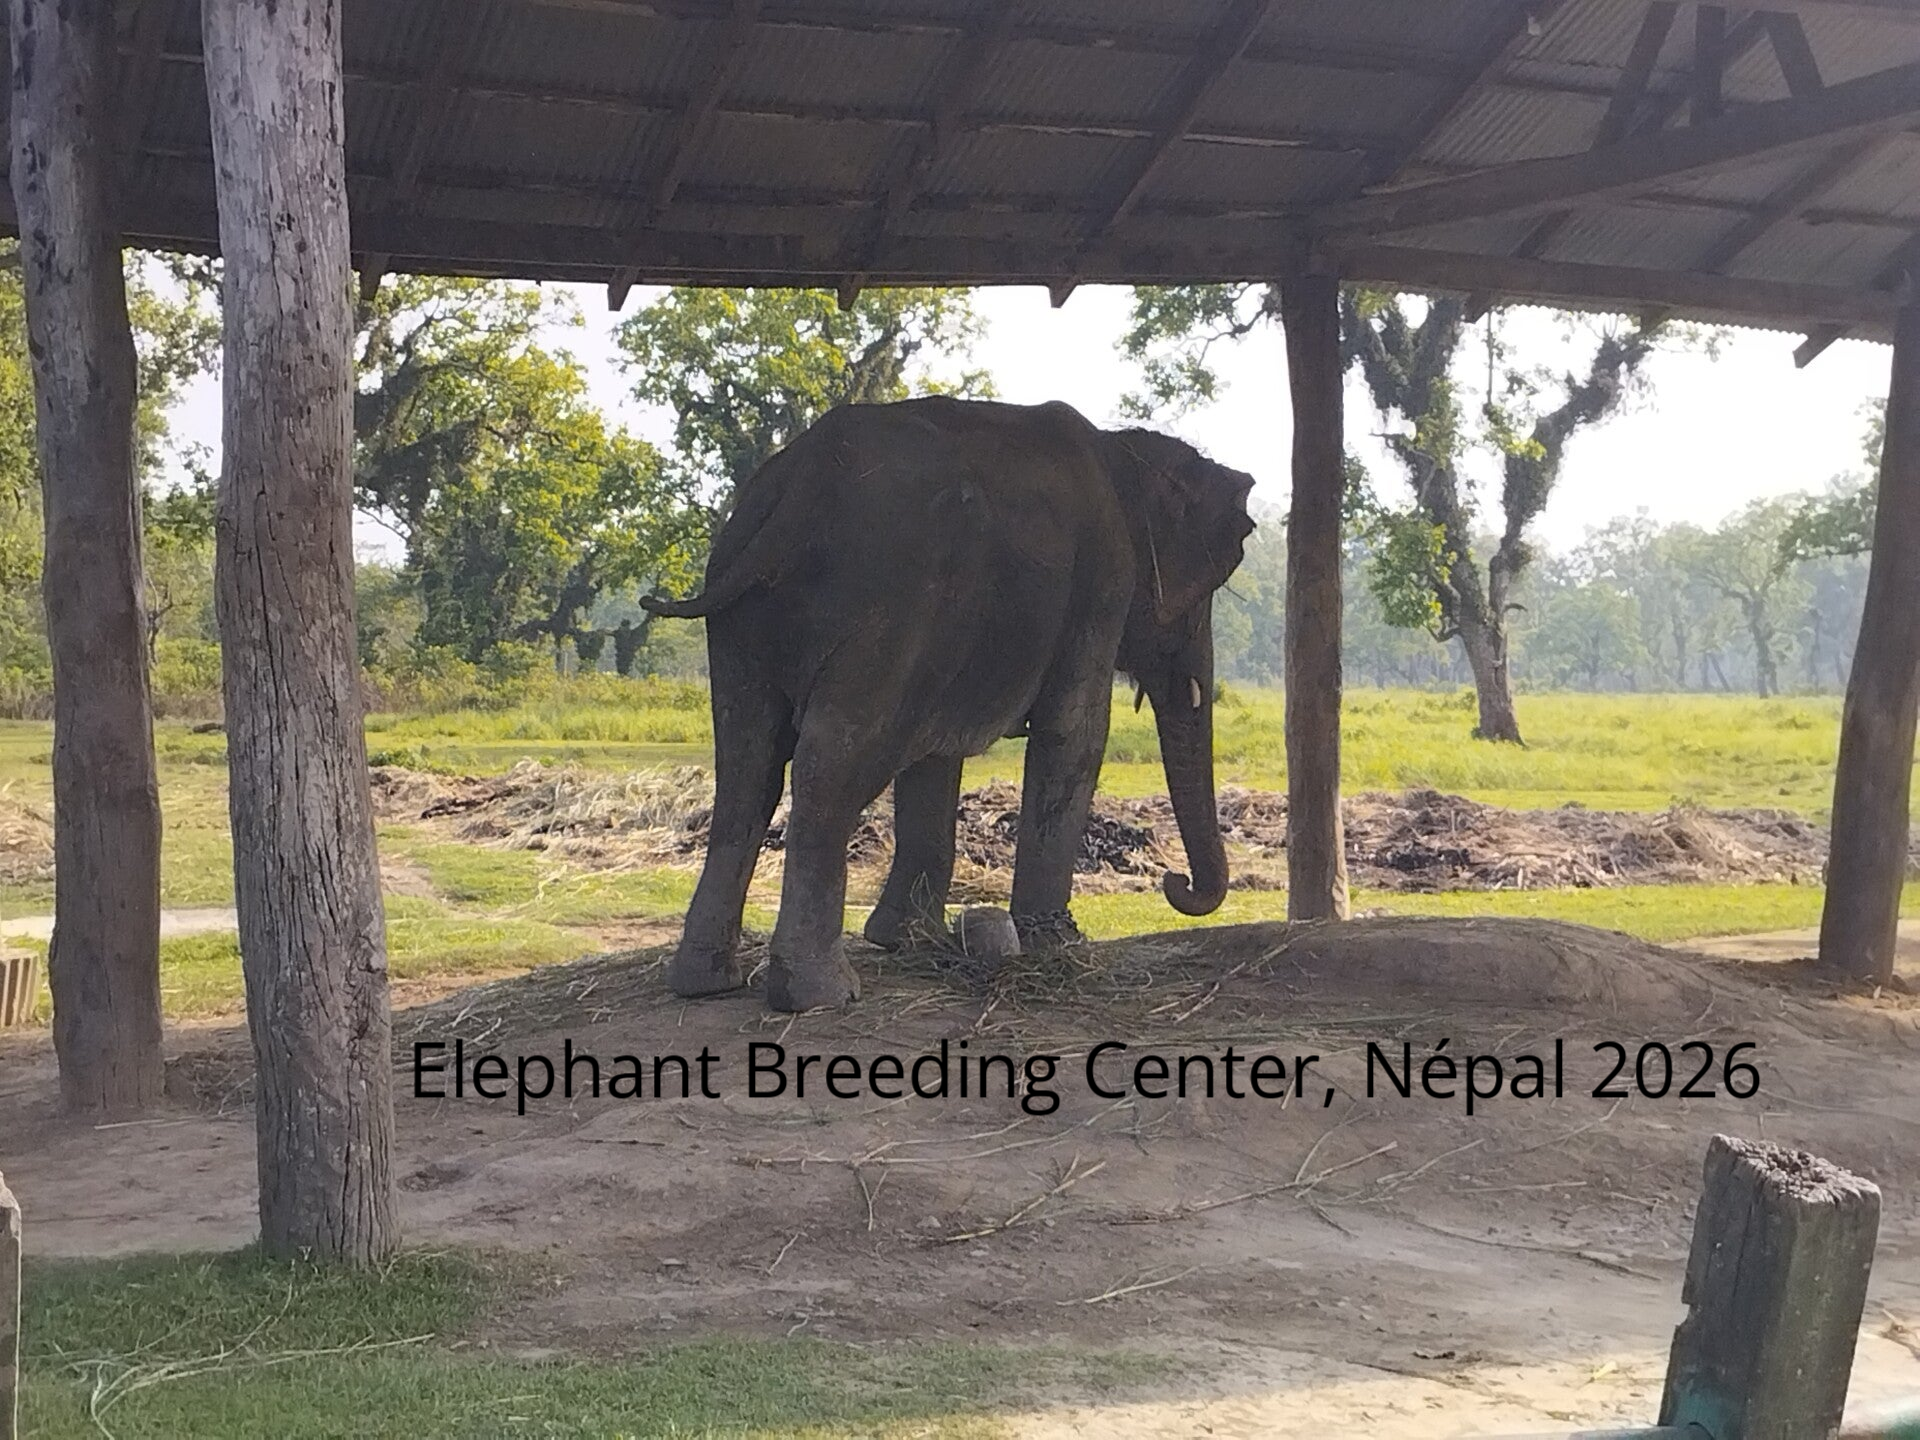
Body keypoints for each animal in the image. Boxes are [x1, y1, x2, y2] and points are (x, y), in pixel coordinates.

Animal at [642, 396, 1255, 1012]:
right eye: (1200, 599)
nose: (1174, 881)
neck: (1122, 450)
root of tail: (799, 483)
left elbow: (934, 753)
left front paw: (908, 939)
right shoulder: (1102, 581)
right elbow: (1074, 733)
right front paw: (1058, 944)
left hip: (742, 613)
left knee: (748, 764)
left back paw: (705, 982)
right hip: (888, 601)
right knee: (831, 761)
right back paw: (820, 994)